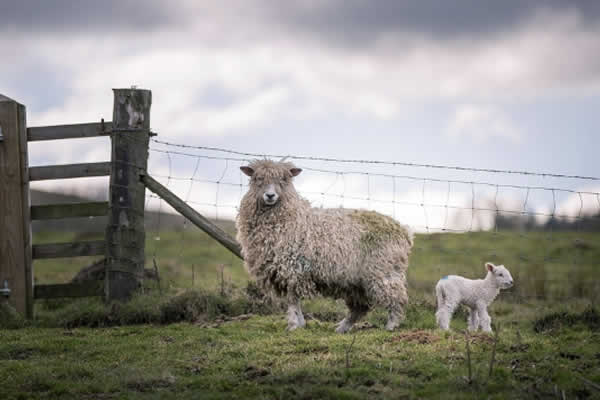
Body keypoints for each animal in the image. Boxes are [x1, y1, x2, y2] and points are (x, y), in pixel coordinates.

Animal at [234, 158, 412, 332]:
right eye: (258, 179)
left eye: (283, 180)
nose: (270, 195)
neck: (288, 219)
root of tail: (404, 230)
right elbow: (294, 300)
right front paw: (299, 323)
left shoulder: (292, 268)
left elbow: (292, 299)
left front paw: (294, 324)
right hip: (356, 282)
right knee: (360, 307)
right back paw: (342, 328)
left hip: (384, 269)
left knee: (397, 298)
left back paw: (391, 325)